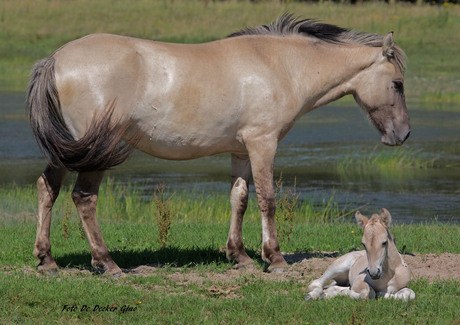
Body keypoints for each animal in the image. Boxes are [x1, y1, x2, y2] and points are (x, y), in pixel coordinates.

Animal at [27, 14, 412, 274]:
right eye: (397, 84)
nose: (404, 134)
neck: (280, 66)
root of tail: (55, 59)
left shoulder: (240, 151)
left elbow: (238, 199)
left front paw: (238, 255)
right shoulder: (262, 144)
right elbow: (267, 200)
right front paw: (275, 258)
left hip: (68, 151)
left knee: (48, 188)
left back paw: (47, 259)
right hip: (95, 152)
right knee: (84, 198)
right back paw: (107, 263)